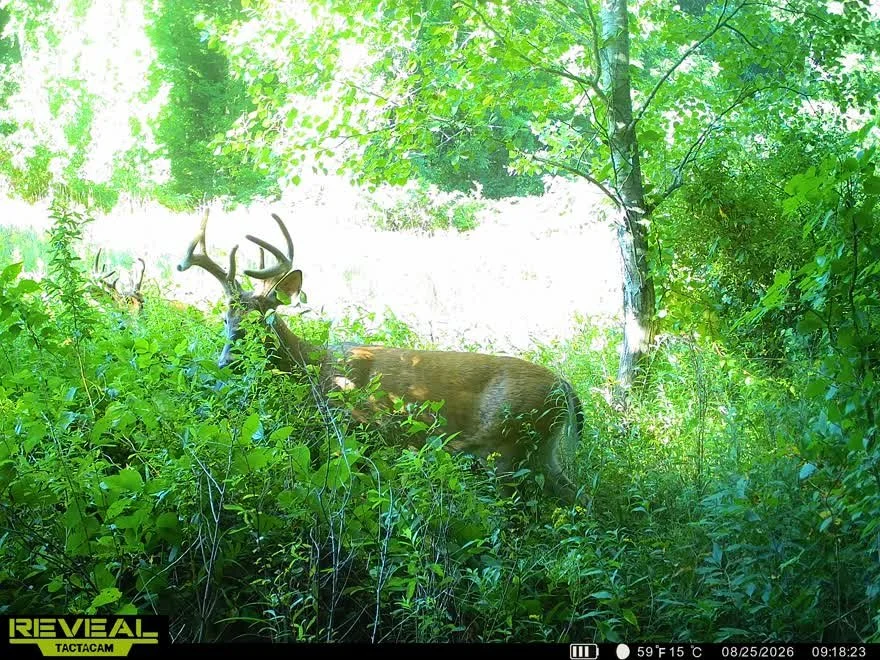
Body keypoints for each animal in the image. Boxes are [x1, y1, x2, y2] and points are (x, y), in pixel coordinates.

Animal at [177, 211, 585, 502]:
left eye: (264, 320)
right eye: (226, 318)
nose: (226, 361)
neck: (312, 368)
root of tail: (565, 387)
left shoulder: (355, 425)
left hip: (504, 443)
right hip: (540, 451)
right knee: (575, 495)